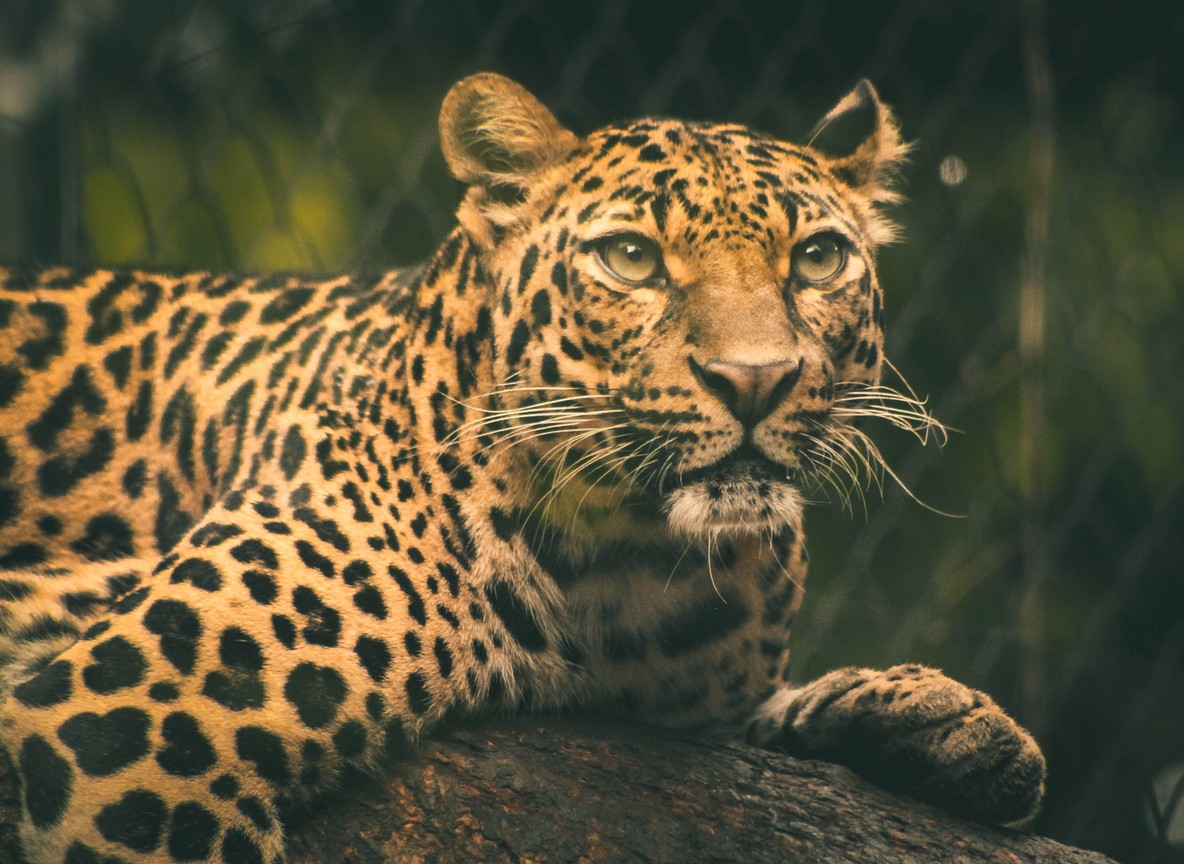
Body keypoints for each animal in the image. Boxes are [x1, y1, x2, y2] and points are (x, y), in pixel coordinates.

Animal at [0, 72, 1046, 863]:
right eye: (631, 258)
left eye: (820, 259)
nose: (755, 380)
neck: (630, 573)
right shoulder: (132, 724)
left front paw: (940, 719)